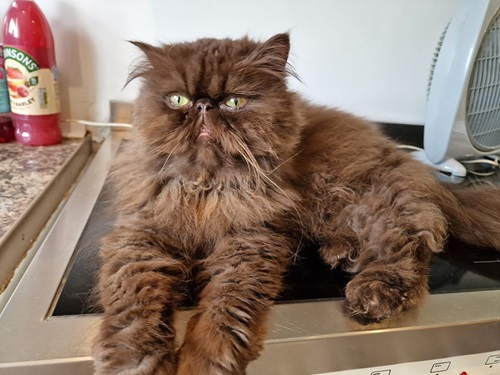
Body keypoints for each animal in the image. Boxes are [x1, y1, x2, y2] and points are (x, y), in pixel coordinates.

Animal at [93, 33, 500, 374]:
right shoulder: (141, 235)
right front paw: (134, 361)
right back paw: (340, 253)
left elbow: (225, 307)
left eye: (234, 101)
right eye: (178, 99)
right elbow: (132, 307)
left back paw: (371, 293)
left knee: (408, 247)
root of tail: (411, 162)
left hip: (361, 202)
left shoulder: (250, 241)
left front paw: (207, 360)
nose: (205, 106)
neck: (207, 188)